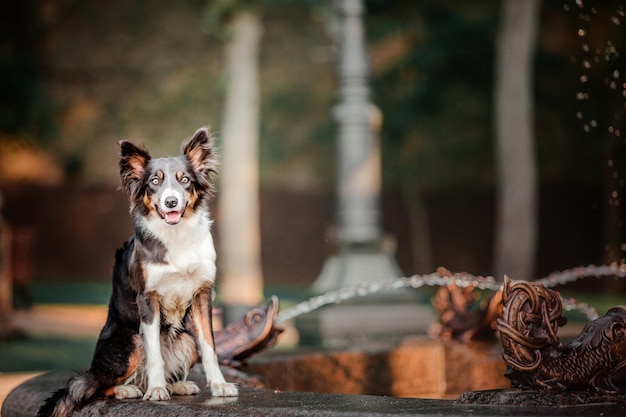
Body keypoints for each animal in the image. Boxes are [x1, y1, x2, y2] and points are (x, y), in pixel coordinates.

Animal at [37, 127, 236, 416]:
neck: (176, 237)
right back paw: (129, 389)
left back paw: (177, 385)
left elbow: (210, 346)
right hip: (131, 341)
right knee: (96, 385)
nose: (171, 201)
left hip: (186, 341)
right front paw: (156, 390)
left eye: (184, 180)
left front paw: (219, 385)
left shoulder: (203, 294)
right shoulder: (147, 299)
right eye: (154, 181)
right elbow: (154, 354)